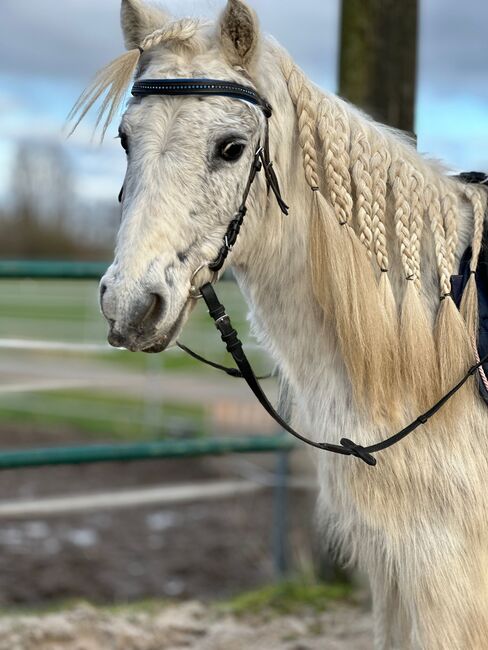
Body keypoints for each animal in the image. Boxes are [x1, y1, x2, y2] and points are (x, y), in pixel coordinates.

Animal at [71, 2, 488, 644]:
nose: (130, 306)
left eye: (232, 147)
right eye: (124, 139)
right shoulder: (401, 571)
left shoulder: (447, 574)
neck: (435, 341)